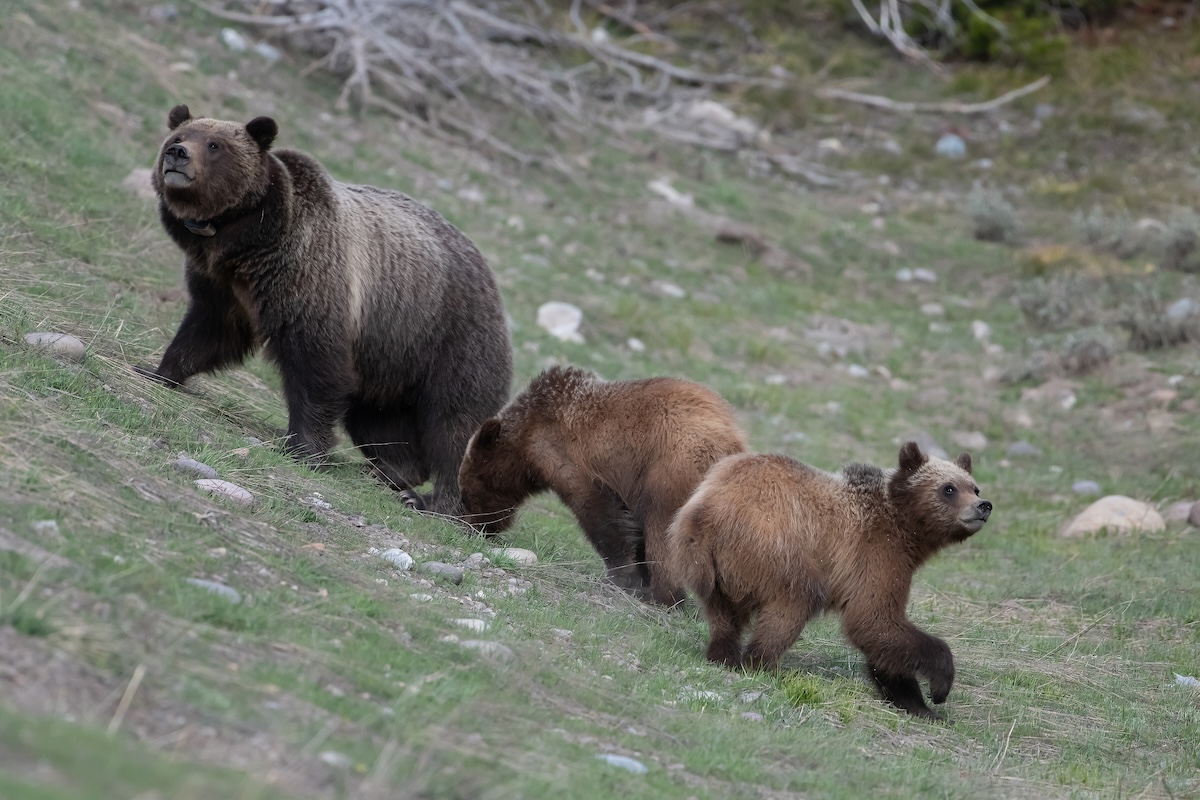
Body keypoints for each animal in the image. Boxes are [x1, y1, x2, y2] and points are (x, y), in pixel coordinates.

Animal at [135, 104, 512, 516]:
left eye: (214, 144)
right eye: (179, 136)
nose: (177, 154)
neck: (244, 244)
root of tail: (488, 272)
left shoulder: (311, 278)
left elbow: (316, 367)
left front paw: (303, 446)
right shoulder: (224, 288)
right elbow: (207, 332)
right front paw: (156, 370)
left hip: (449, 337)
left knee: (454, 425)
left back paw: (435, 501)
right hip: (390, 358)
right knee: (379, 420)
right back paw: (387, 471)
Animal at [457, 365, 748, 605]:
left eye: (466, 494)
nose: (471, 528)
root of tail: (731, 445)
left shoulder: (573, 461)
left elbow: (601, 516)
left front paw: (620, 575)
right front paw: (635, 575)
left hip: (671, 469)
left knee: (663, 529)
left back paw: (663, 596)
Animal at [665, 442, 993, 718]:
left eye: (974, 487)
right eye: (949, 488)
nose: (983, 506)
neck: (904, 528)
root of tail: (704, 511)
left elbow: (881, 641)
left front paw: (915, 702)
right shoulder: (877, 554)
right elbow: (874, 619)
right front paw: (938, 687)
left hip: (717, 569)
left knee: (723, 614)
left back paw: (723, 655)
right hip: (775, 547)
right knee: (794, 603)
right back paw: (763, 664)